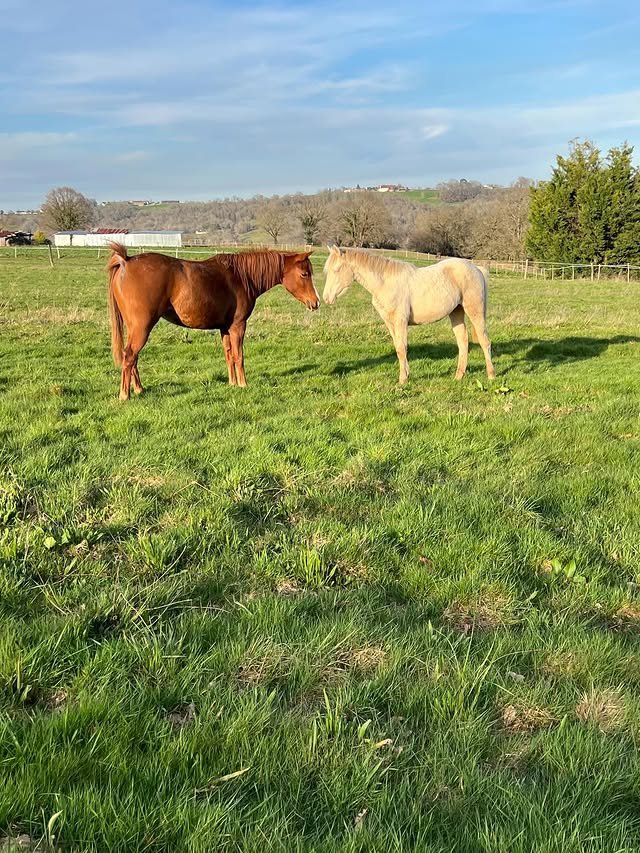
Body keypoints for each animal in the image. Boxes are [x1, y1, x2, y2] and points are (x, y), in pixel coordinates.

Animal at [107, 243, 319, 400]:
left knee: (132, 358)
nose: (316, 302)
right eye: (304, 274)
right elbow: (239, 356)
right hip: (142, 327)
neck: (241, 277)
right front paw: (243, 384)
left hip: (134, 328)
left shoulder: (225, 328)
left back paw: (139, 389)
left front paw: (232, 383)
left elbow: (229, 355)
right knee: (129, 356)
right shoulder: (238, 326)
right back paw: (125, 395)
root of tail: (126, 262)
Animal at [322, 246, 495, 384]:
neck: (385, 283)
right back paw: (458, 376)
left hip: (475, 311)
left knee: (484, 341)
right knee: (463, 341)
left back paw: (491, 375)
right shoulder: (390, 323)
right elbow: (398, 348)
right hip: (456, 312)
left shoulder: (400, 321)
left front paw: (403, 380)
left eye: (336, 269)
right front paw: (406, 375)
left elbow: (402, 348)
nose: (326, 298)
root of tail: (476, 269)